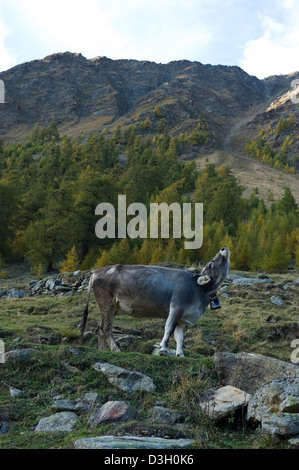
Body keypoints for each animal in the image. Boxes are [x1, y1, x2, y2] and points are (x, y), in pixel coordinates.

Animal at [79, 246, 230, 356]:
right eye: (210, 263)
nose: (223, 248)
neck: (199, 292)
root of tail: (97, 271)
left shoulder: (183, 318)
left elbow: (180, 336)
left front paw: (180, 354)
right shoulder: (177, 307)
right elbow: (169, 328)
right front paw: (163, 349)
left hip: (113, 306)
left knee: (100, 326)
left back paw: (103, 349)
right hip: (106, 300)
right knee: (106, 327)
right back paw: (116, 349)